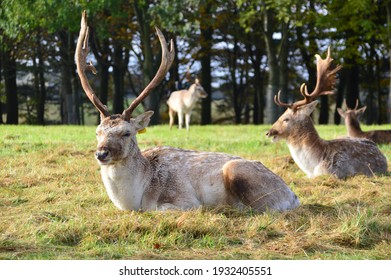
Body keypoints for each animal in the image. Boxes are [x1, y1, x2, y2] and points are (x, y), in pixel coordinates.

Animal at [74, 10, 300, 212]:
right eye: (98, 132)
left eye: (126, 132)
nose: (101, 153)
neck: (132, 200)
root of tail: (293, 196)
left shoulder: (185, 200)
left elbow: (157, 209)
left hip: (236, 170)